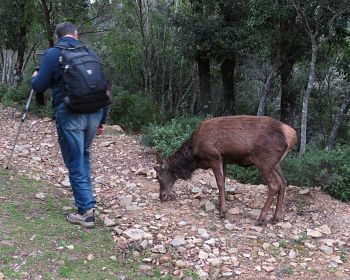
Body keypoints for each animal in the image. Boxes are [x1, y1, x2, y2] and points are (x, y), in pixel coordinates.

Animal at [154, 115, 296, 225]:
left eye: (159, 176)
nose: (162, 196)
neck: (193, 156)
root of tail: (292, 136)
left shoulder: (214, 157)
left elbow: (220, 183)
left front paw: (222, 211)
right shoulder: (225, 159)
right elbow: (224, 181)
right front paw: (222, 205)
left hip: (264, 161)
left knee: (274, 185)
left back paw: (261, 219)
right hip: (276, 163)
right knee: (283, 182)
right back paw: (276, 218)